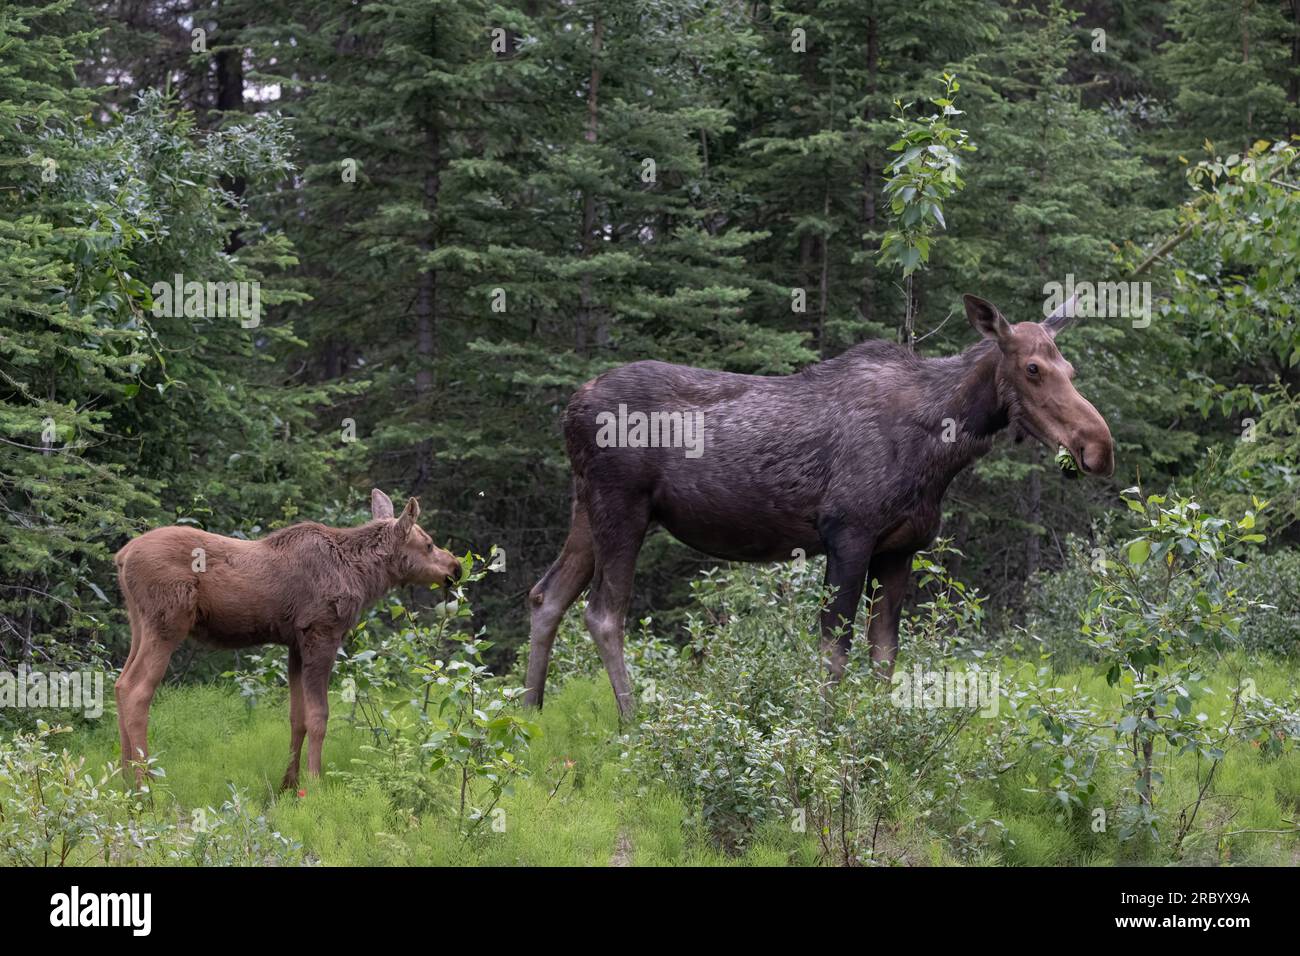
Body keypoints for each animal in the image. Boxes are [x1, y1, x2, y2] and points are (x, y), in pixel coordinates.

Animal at [113, 489, 457, 790]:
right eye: (428, 544)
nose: (455, 566)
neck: (363, 576)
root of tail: (122, 556)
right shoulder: (322, 632)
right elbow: (319, 716)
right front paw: (315, 783)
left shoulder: (294, 643)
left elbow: (297, 717)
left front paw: (288, 785)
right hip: (168, 622)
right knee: (137, 690)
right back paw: (147, 786)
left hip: (139, 623)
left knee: (119, 683)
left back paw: (126, 782)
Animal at [522, 291, 1112, 717]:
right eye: (1033, 368)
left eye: (1071, 370)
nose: (1098, 446)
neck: (942, 452)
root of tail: (569, 407)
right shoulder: (847, 534)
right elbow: (835, 652)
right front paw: (824, 734)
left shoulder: (899, 550)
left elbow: (884, 655)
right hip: (623, 507)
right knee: (604, 613)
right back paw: (633, 723)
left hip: (587, 506)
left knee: (546, 594)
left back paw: (529, 713)